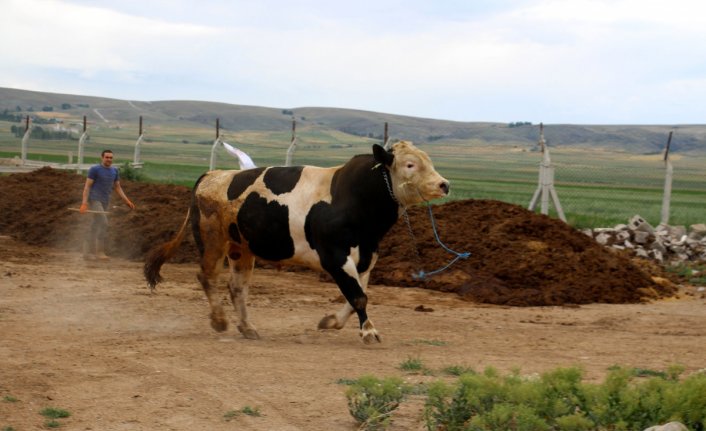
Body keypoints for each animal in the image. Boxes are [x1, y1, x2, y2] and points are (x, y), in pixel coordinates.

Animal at [144, 142, 448, 344]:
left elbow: (356, 297)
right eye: (410, 164)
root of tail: (212, 175)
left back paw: (247, 327)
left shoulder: (366, 257)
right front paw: (369, 331)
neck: (353, 197)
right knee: (207, 277)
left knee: (237, 288)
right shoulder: (335, 256)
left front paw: (331, 321)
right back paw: (219, 321)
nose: (444, 184)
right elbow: (358, 297)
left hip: (241, 249)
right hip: (213, 241)